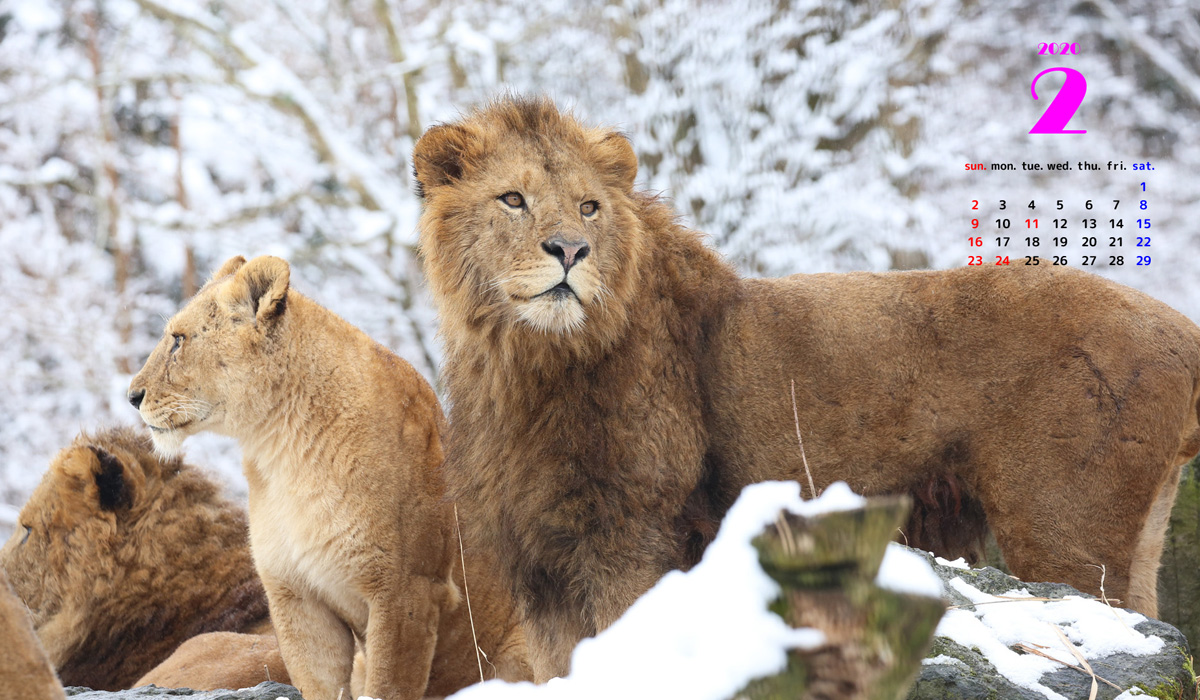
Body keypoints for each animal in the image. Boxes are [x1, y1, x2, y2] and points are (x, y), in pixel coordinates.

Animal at [125, 254, 530, 700]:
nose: (131, 396)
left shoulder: (408, 590)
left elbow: (388, 686)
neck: (280, 448)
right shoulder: (295, 595)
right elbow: (318, 683)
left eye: (178, 340)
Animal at [412, 96, 1200, 681]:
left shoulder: (633, 540)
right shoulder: (543, 570)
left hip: (1065, 534)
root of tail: (1182, 330)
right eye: (512, 199)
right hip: (1134, 540)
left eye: (588, 208)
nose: (570, 251)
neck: (522, 363)